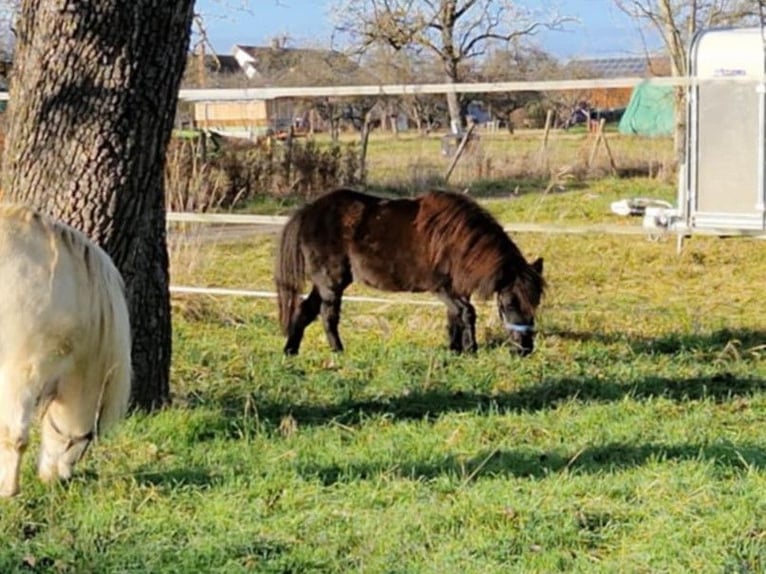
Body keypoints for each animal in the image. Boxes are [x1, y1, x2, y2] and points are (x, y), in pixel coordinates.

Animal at [275, 188, 545, 356]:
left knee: (304, 310)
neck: (456, 239)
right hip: (331, 283)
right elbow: (467, 313)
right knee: (327, 316)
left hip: (324, 283)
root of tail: (308, 211)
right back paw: (338, 351)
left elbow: (454, 318)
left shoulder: (456, 289)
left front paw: (455, 350)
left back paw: (290, 351)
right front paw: (471, 350)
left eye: (534, 304)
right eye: (508, 305)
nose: (524, 349)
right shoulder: (442, 288)